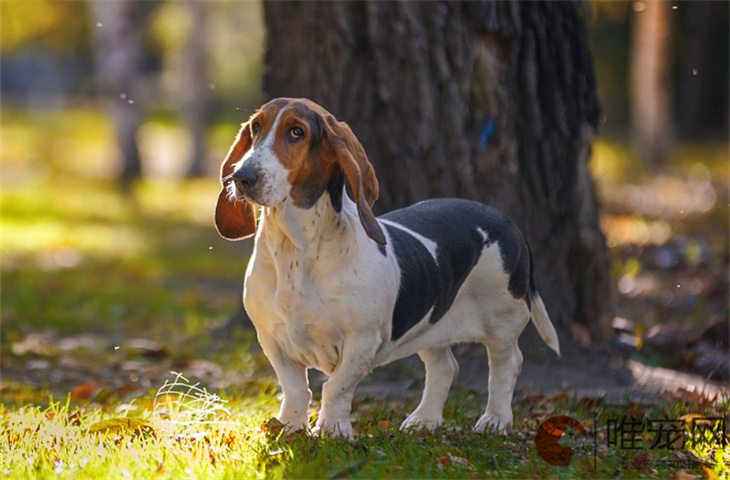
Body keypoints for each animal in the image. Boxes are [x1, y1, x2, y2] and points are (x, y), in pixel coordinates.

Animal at [213, 96, 560, 436]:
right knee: (445, 367)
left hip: (502, 320)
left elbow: (336, 387)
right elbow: (296, 389)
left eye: (296, 132)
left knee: (507, 364)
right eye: (256, 127)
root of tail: (509, 223)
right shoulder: (272, 339)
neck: (294, 252)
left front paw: (333, 429)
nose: (241, 177)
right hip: (431, 323)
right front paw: (290, 427)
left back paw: (495, 421)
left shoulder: (361, 340)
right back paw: (424, 420)